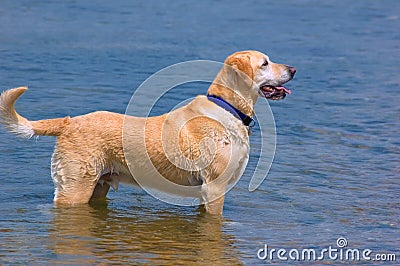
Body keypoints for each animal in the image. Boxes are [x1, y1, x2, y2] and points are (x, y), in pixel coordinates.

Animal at [0, 51, 294, 215]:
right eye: (265, 63)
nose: (293, 69)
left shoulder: (207, 192)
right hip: (75, 188)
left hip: (97, 186)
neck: (229, 107)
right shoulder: (215, 188)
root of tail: (69, 122)